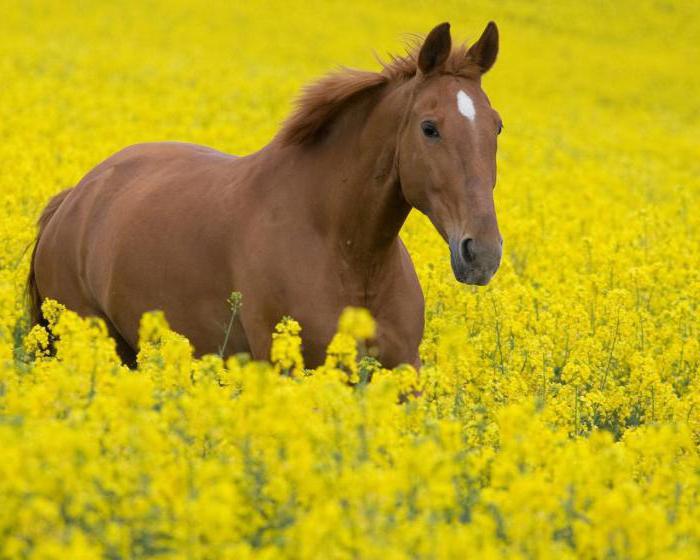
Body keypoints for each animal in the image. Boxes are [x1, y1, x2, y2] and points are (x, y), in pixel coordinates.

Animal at [26, 21, 504, 370]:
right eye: (429, 127)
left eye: (496, 126)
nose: (481, 254)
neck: (348, 253)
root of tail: (74, 198)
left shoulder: (403, 371)